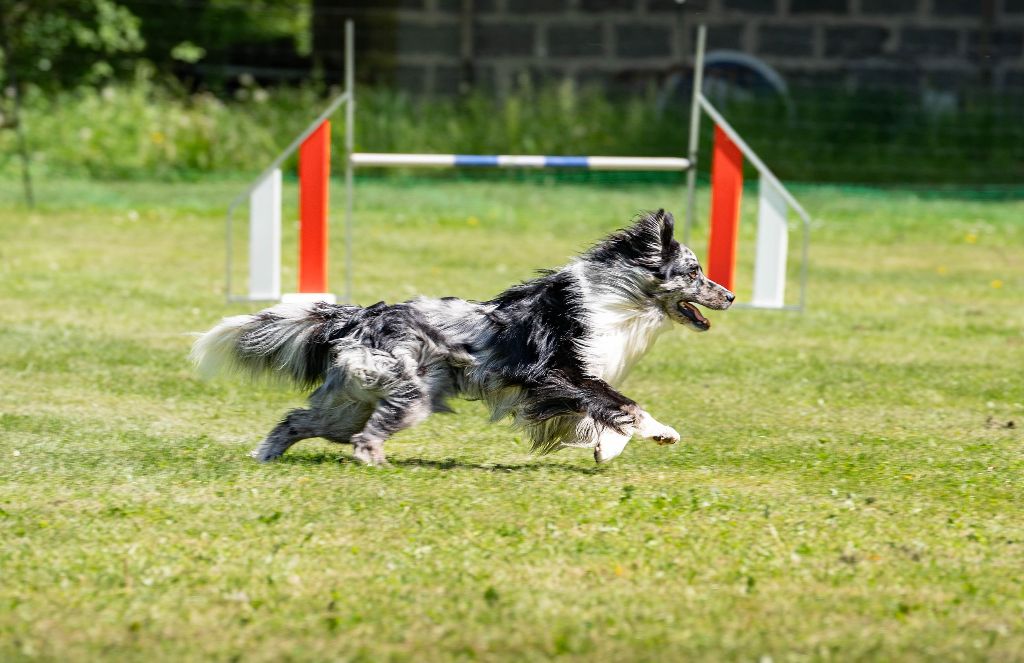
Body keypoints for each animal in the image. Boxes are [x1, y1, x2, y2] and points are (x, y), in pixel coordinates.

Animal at [192, 210, 733, 465]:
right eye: (694, 271)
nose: (729, 295)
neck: (616, 297)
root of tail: (359, 316)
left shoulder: (558, 387)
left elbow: (596, 417)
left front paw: (606, 449)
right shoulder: (558, 373)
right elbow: (622, 405)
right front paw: (658, 433)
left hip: (348, 404)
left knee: (296, 419)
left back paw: (263, 457)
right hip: (406, 395)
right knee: (364, 438)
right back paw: (376, 466)